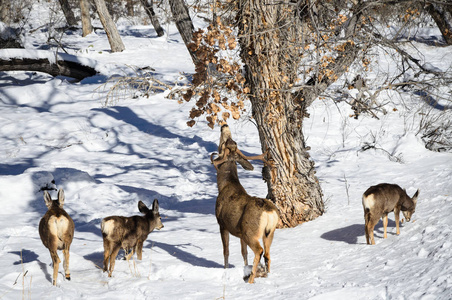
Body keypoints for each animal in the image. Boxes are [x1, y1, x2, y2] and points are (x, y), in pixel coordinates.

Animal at [211, 124, 278, 284]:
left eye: (223, 144)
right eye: (230, 141)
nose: (225, 125)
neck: (224, 185)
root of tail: (269, 213)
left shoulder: (222, 224)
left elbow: (226, 251)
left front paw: (226, 270)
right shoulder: (240, 233)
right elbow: (244, 252)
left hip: (251, 232)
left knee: (259, 251)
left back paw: (251, 279)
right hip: (270, 232)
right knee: (267, 254)